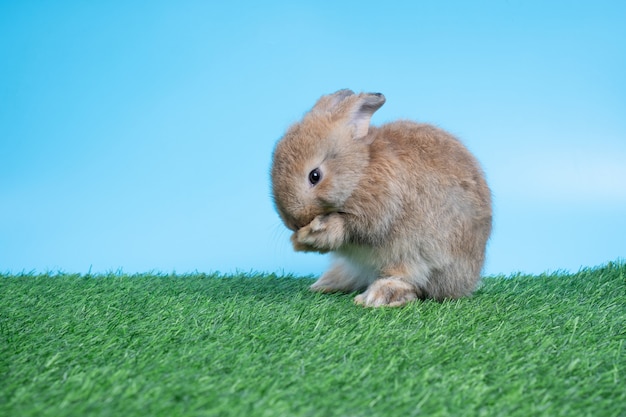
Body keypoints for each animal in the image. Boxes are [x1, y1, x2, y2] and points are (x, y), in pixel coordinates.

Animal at [270, 89, 490, 308]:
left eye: (315, 176)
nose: (294, 223)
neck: (360, 172)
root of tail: (468, 281)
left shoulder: (378, 212)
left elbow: (348, 228)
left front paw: (315, 232)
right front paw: (297, 242)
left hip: (421, 261)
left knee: (413, 284)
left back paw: (378, 296)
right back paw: (326, 284)